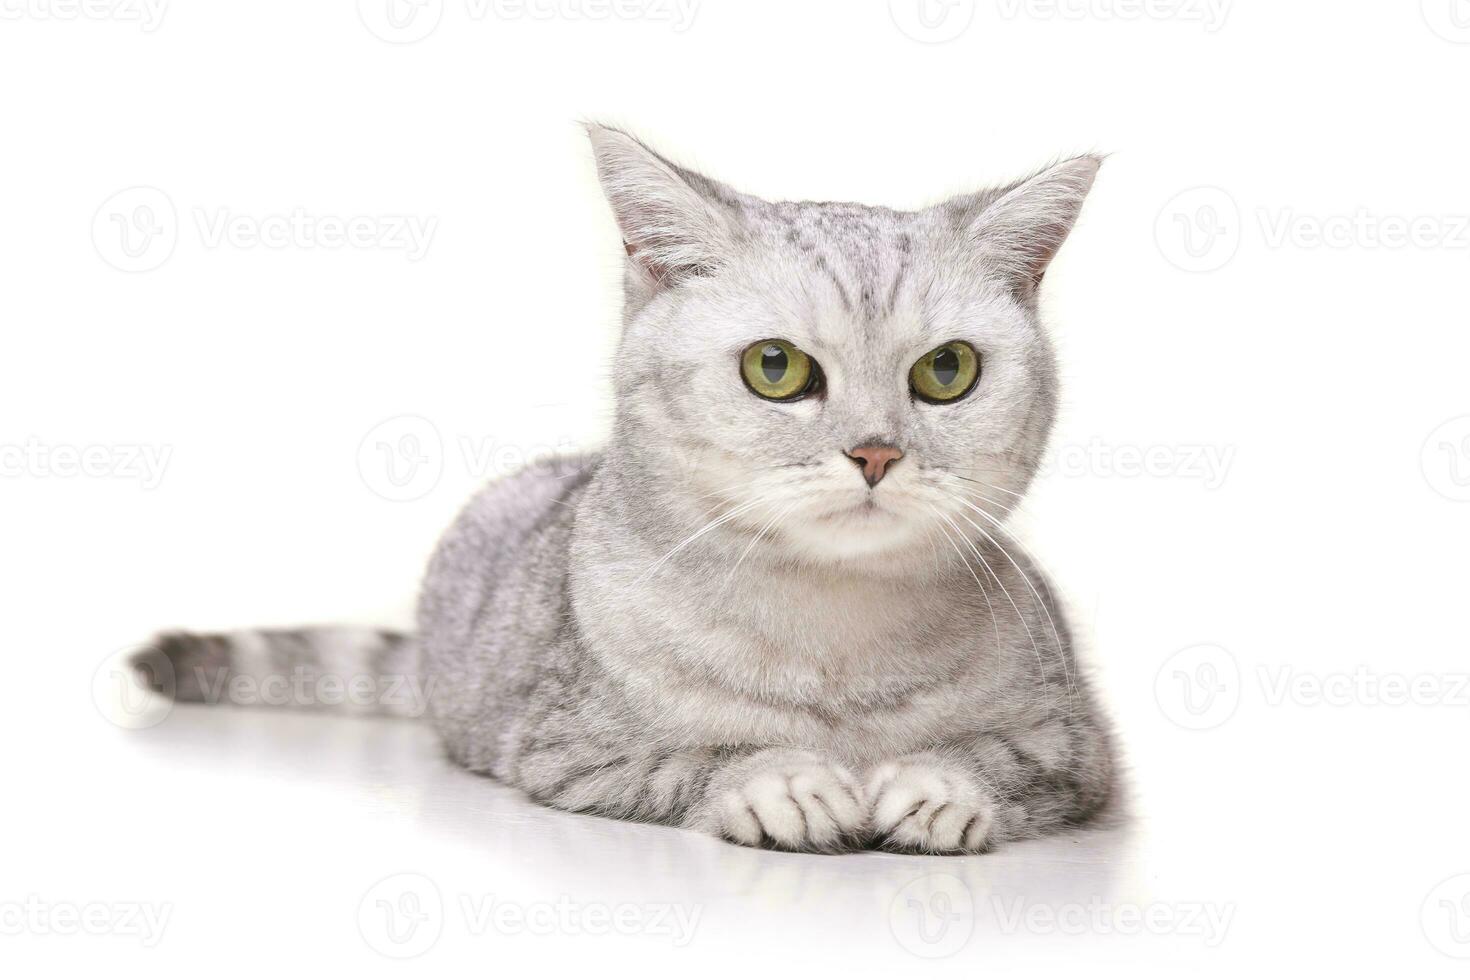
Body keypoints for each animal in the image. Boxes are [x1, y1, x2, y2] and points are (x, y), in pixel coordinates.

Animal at [143, 126, 1117, 852]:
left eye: (947, 372)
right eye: (776, 368)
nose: (875, 453)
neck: (833, 641)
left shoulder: (1079, 750)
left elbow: (1002, 760)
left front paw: (937, 784)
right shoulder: (568, 749)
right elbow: (698, 756)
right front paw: (782, 780)